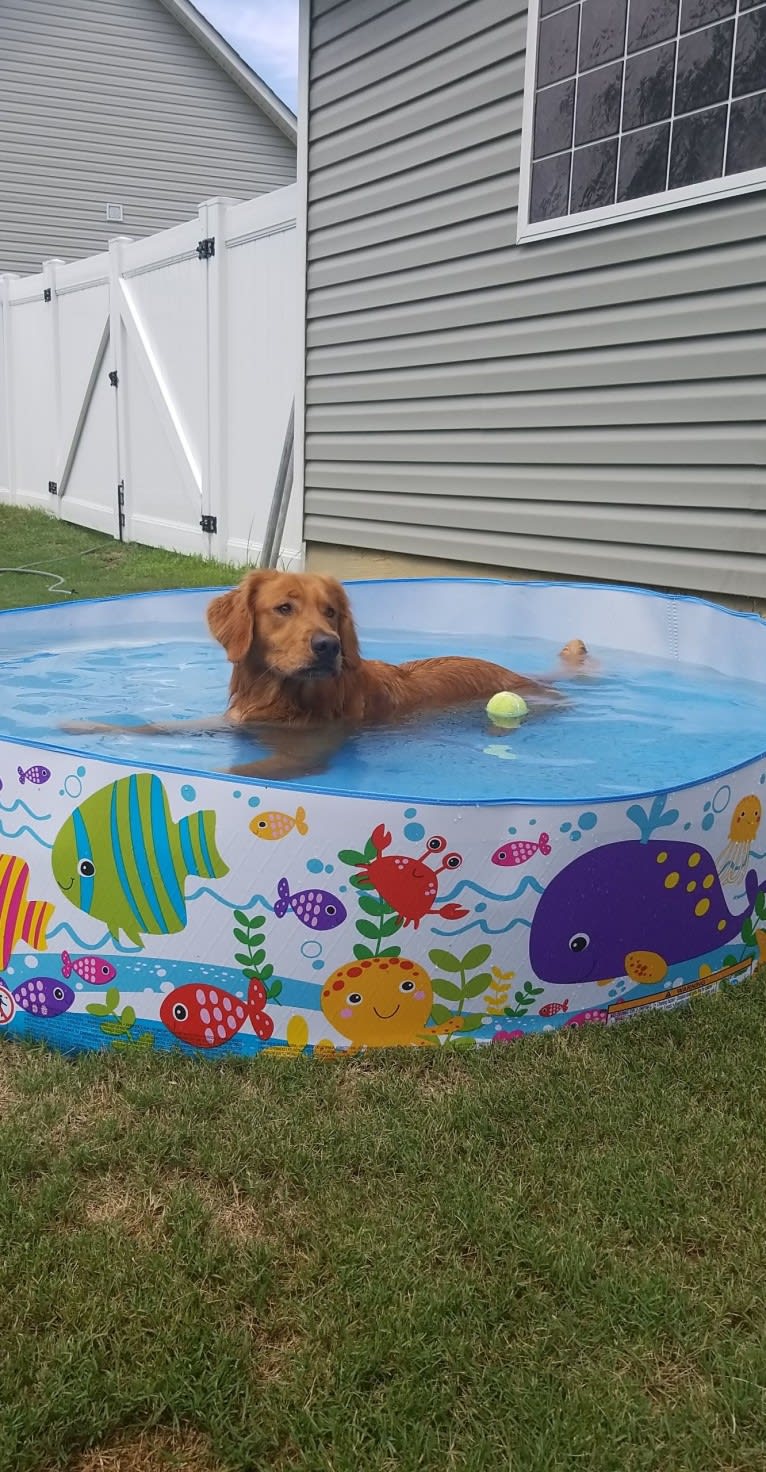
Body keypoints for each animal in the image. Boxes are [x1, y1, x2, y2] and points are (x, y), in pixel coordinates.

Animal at [67, 571, 586, 783]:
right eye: (284, 608)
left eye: (332, 612)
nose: (328, 646)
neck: (278, 694)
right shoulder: (234, 721)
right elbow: (159, 727)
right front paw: (84, 726)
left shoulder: (305, 755)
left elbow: (234, 774)